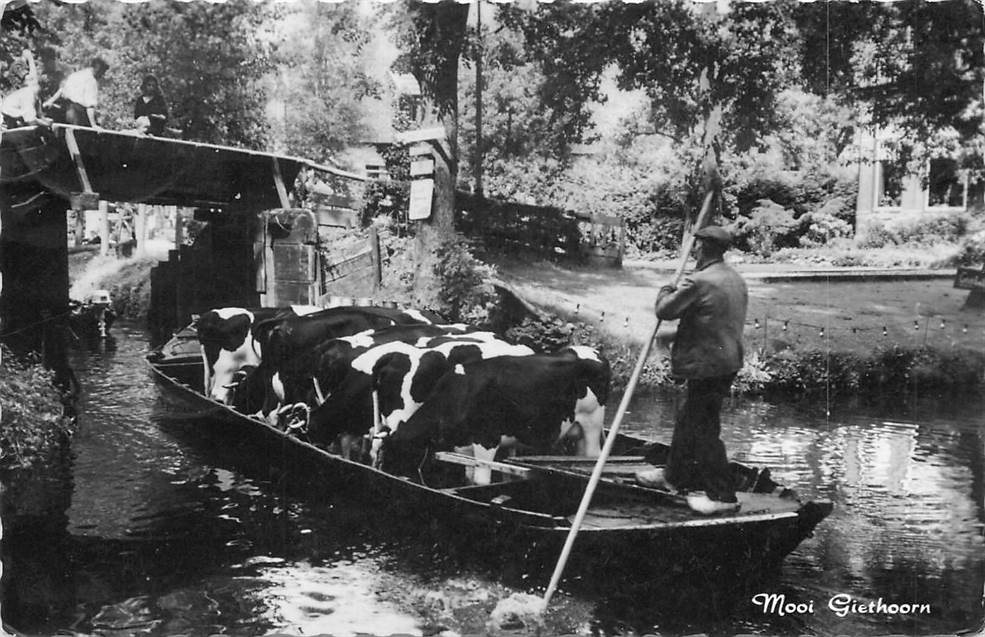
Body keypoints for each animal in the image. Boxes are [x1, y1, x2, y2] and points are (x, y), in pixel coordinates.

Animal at [382, 346, 608, 484]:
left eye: (395, 454)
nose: (385, 477)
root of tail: (592, 351)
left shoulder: (487, 439)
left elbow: (481, 480)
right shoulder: (463, 445)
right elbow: (469, 477)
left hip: (593, 422)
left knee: (593, 454)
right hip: (578, 429)